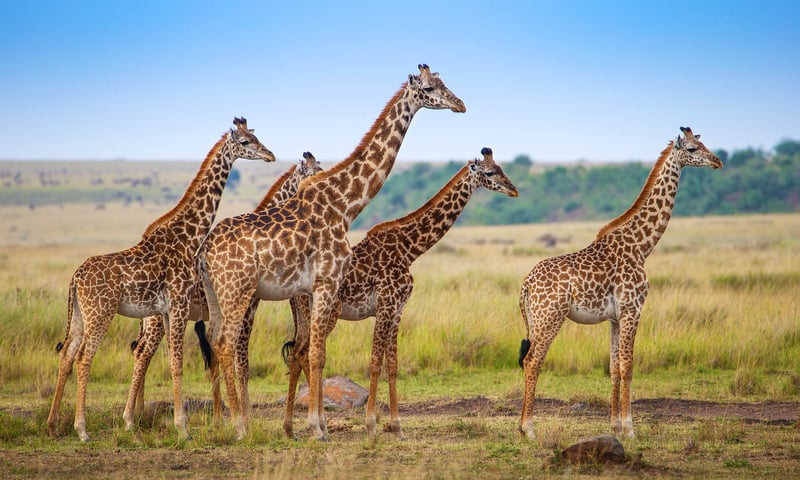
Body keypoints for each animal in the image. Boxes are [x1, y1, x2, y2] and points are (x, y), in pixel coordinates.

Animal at [46, 118, 275, 441]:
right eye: (245, 142)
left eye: (256, 137)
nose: (270, 155)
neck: (188, 237)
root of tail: (75, 279)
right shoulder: (179, 303)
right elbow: (178, 363)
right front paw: (183, 428)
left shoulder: (168, 310)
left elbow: (171, 362)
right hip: (100, 313)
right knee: (84, 358)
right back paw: (82, 430)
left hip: (79, 315)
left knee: (67, 354)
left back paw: (53, 425)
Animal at [123, 152, 322, 431]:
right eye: (315, 173)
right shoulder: (247, 310)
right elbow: (242, 363)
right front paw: (245, 417)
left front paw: (223, 418)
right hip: (156, 318)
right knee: (142, 352)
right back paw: (133, 418)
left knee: (139, 349)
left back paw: (140, 413)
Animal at [201, 64, 466, 440]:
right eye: (429, 88)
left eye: (445, 83)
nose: (460, 104)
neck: (345, 205)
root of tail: (205, 250)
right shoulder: (326, 282)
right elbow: (315, 355)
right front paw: (317, 428)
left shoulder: (316, 289)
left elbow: (316, 353)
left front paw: (314, 425)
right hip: (237, 292)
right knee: (227, 344)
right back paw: (240, 426)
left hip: (216, 294)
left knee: (217, 343)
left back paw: (228, 424)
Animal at [280, 147, 518, 438]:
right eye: (490, 172)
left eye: (501, 167)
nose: (514, 190)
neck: (409, 249)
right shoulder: (386, 305)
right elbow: (374, 363)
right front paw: (371, 425)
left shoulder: (398, 310)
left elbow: (392, 365)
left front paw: (397, 426)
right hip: (327, 312)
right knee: (308, 354)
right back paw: (314, 425)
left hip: (307, 317)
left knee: (298, 354)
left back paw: (292, 428)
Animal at [517, 127, 722, 441]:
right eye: (692, 149)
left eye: (702, 144)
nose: (717, 161)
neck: (642, 246)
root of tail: (526, 285)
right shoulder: (632, 310)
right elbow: (628, 366)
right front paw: (630, 429)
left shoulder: (615, 317)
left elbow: (613, 367)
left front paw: (615, 426)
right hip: (549, 317)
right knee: (532, 361)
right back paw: (528, 429)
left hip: (538, 319)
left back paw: (523, 427)